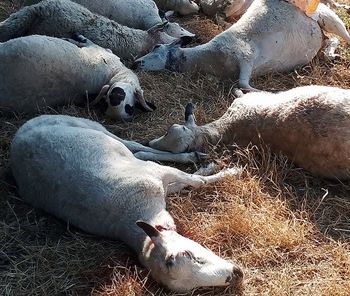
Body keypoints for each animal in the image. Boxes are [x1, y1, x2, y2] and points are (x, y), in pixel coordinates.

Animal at [8, 114, 243, 292]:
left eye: (191, 255)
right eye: (194, 288)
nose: (237, 273)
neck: (133, 213)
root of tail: (18, 136)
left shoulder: (156, 172)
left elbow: (193, 181)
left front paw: (225, 170)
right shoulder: (156, 178)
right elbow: (192, 182)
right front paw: (221, 171)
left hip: (91, 126)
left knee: (134, 146)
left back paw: (190, 155)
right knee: (137, 150)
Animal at [133, 0, 350, 91]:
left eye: (156, 49)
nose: (135, 63)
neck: (210, 57)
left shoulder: (244, 56)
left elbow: (243, 84)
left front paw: (268, 93)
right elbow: (241, 84)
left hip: (329, 17)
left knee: (344, 36)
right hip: (320, 34)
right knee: (331, 41)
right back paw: (331, 54)